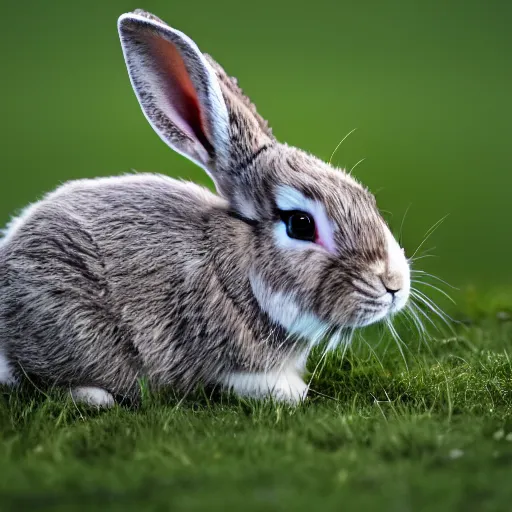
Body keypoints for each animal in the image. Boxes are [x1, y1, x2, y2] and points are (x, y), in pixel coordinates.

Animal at [0, 9, 410, 408]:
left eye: (366, 199)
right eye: (301, 224)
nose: (394, 286)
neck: (238, 269)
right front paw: (291, 391)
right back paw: (94, 396)